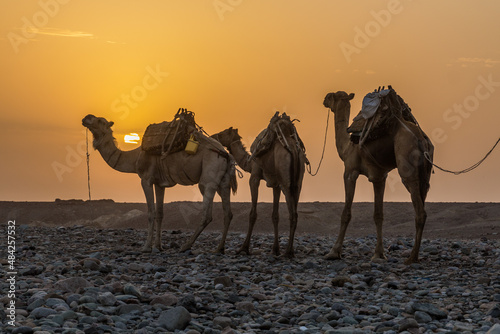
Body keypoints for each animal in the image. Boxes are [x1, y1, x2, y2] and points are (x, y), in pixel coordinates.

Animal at [82, 115, 238, 253]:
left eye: (100, 121)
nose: (86, 118)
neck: (134, 158)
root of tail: (227, 154)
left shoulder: (146, 179)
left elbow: (151, 212)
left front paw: (146, 247)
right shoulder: (159, 183)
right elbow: (160, 213)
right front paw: (158, 246)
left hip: (208, 177)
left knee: (207, 213)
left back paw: (186, 246)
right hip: (223, 181)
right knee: (228, 213)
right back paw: (219, 248)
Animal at [213, 113, 306, 258]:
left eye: (223, 133)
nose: (213, 136)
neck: (249, 163)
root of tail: (294, 150)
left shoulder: (255, 176)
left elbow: (253, 214)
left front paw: (243, 248)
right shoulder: (276, 184)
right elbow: (275, 216)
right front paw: (275, 249)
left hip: (287, 183)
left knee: (292, 214)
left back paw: (288, 252)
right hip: (298, 183)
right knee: (295, 212)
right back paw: (289, 251)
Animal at [324, 90, 434, 264]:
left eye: (333, 96)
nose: (325, 99)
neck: (346, 146)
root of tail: (421, 139)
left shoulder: (350, 171)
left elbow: (346, 214)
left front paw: (333, 252)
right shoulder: (379, 176)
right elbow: (378, 215)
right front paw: (379, 254)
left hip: (408, 169)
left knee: (420, 211)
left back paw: (412, 257)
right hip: (425, 176)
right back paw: (414, 255)